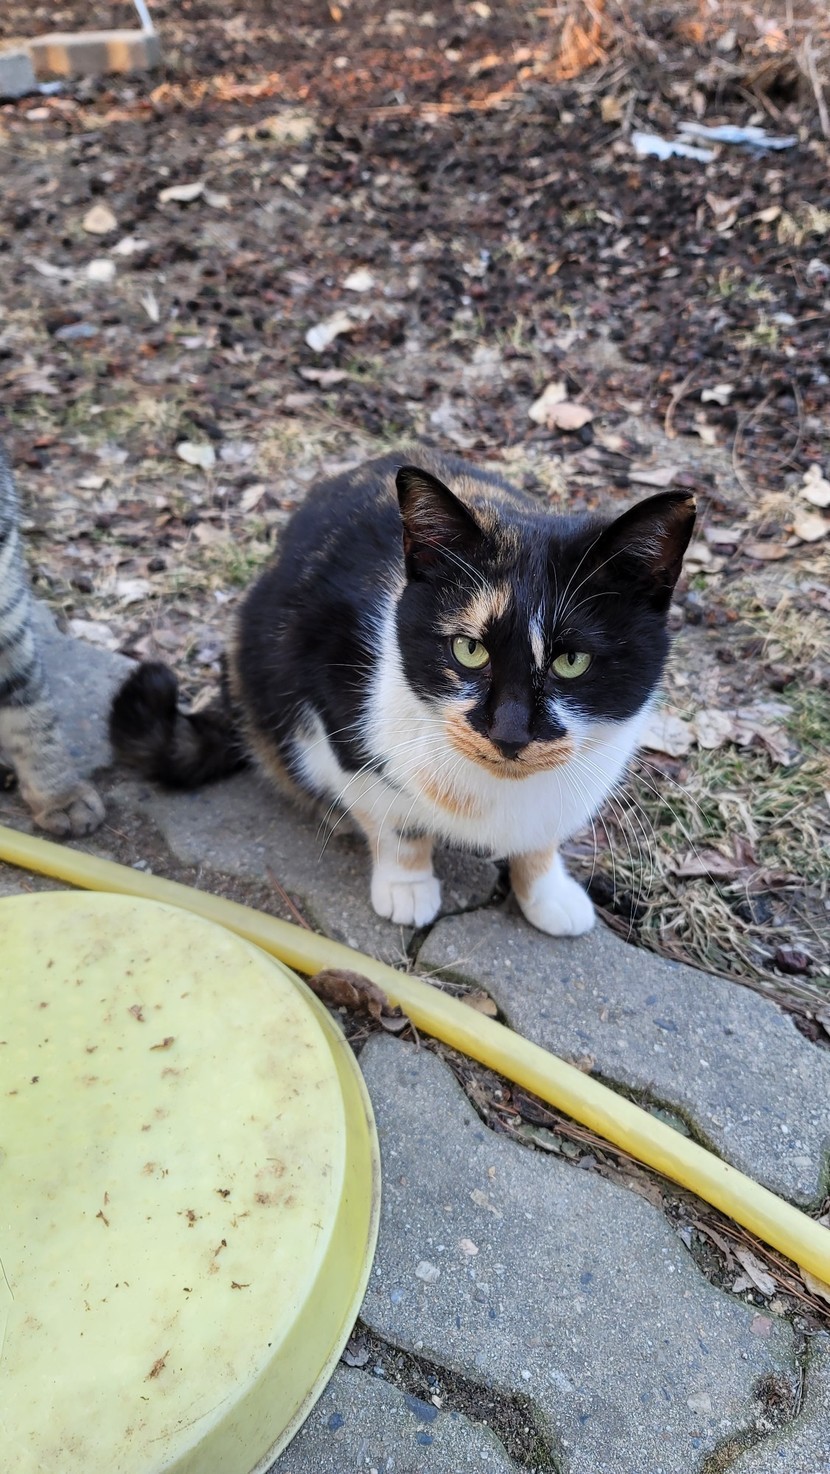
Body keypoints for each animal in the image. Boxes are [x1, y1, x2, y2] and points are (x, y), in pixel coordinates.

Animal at [110, 447, 694, 935]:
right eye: (468, 650)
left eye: (572, 661)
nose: (509, 731)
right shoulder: (333, 701)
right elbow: (393, 817)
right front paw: (407, 886)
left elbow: (542, 834)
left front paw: (548, 892)